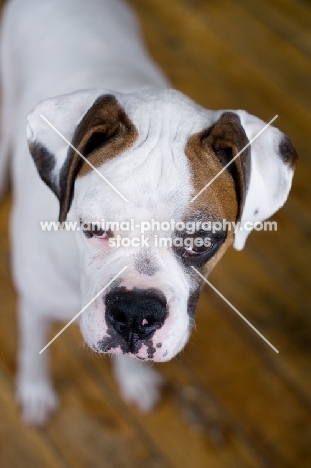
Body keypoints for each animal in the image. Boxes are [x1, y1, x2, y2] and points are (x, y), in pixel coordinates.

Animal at [0, 0, 298, 424]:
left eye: (201, 243)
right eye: (92, 228)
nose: (134, 312)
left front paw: (134, 379)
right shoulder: (35, 304)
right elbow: (33, 352)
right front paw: (35, 392)